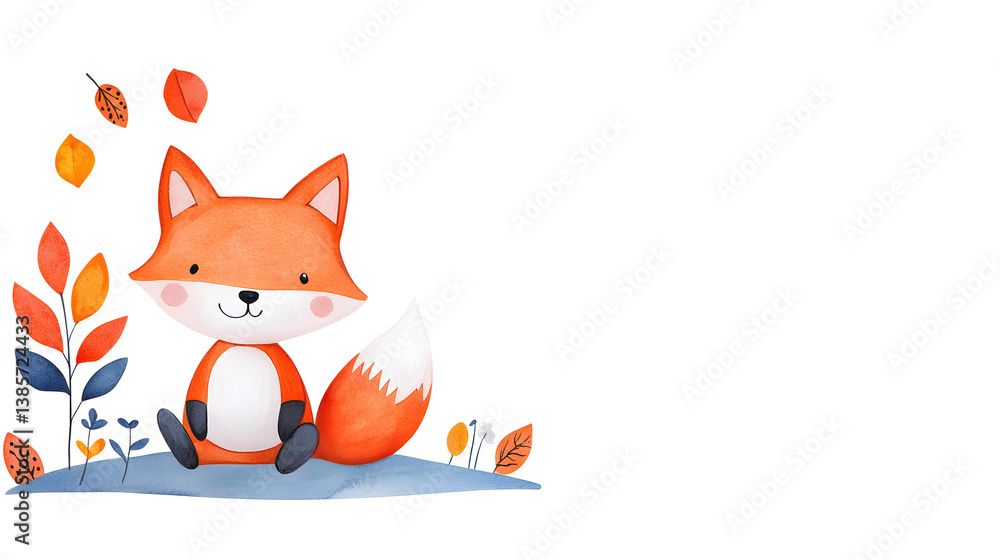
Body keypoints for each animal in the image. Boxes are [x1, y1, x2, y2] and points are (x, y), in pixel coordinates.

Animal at [130, 146, 432, 474]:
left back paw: (290, 455)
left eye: (304, 277)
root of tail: (239, 461)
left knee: (307, 435)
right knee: (185, 440)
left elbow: (293, 404)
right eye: (194, 268)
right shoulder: (205, 372)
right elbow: (195, 403)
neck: (246, 346)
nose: (249, 294)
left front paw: (288, 433)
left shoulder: (286, 375)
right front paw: (193, 428)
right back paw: (178, 441)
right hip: (207, 450)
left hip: (297, 440)